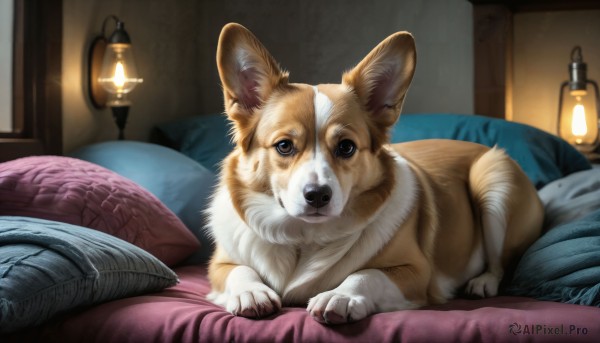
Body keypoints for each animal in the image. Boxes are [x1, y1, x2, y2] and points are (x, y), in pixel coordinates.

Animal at [207, 23, 544, 326]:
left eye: (346, 147)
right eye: (284, 146)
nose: (317, 195)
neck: (305, 238)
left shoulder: (415, 272)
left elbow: (366, 274)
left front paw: (339, 296)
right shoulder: (220, 264)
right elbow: (240, 270)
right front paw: (251, 293)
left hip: (494, 180)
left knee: (499, 264)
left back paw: (482, 283)